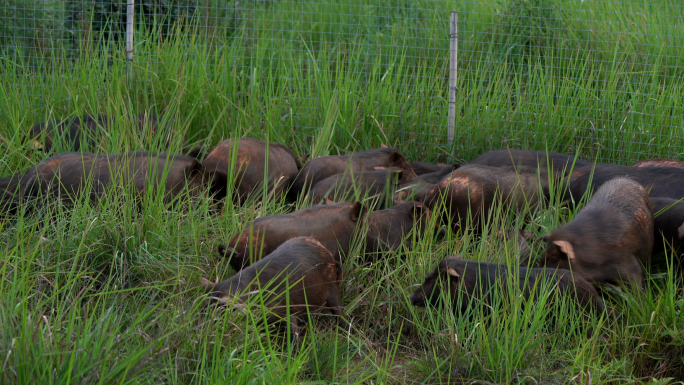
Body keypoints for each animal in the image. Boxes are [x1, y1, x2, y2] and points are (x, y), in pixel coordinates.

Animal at [200, 236, 344, 344]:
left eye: (219, 314)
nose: (201, 334)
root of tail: (329, 255)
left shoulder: (285, 308)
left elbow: (293, 330)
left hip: (332, 286)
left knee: (338, 312)